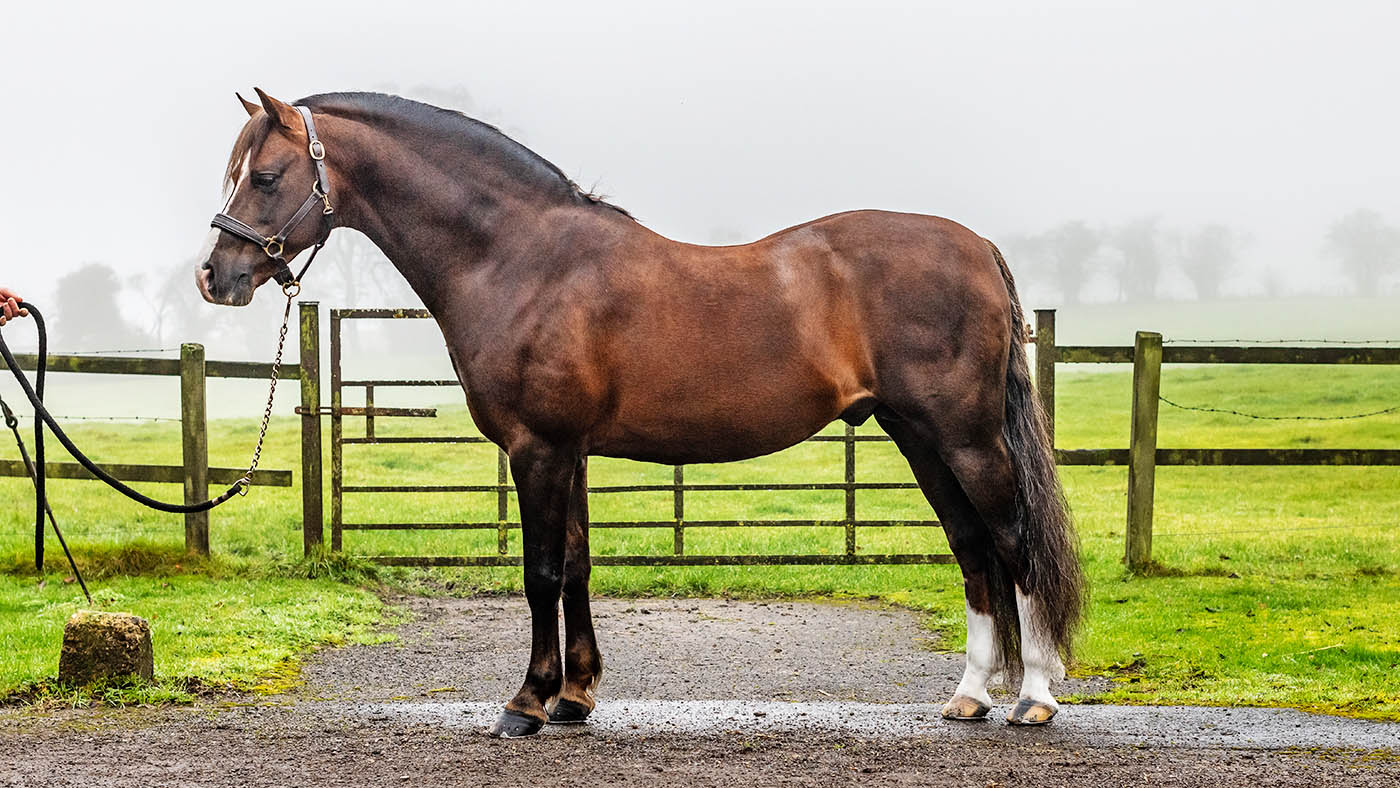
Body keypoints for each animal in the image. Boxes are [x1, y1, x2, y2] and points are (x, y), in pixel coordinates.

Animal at [197, 89, 1085, 737]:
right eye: (233, 172)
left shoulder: (539, 449)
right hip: (920, 438)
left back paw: (1034, 697)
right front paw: (575, 698)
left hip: (965, 438)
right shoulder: (572, 453)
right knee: (973, 551)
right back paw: (970, 695)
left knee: (1013, 543)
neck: (517, 257)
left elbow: (540, 573)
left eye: (266, 177)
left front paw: (526, 704)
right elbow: (577, 568)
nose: (215, 276)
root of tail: (977, 247)